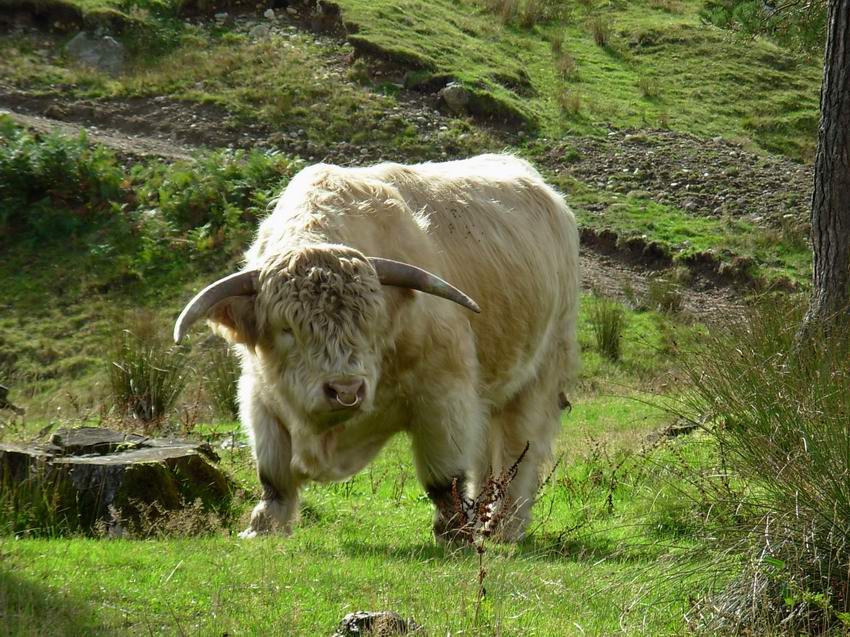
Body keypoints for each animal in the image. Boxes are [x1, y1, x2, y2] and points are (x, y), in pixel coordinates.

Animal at [176, 153, 580, 536]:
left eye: (370, 322)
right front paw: (263, 528)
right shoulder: (259, 395)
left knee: (520, 449)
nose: (345, 390)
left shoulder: (444, 395)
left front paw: (453, 534)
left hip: (539, 374)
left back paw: (504, 528)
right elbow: (274, 476)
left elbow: (444, 478)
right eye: (286, 328)